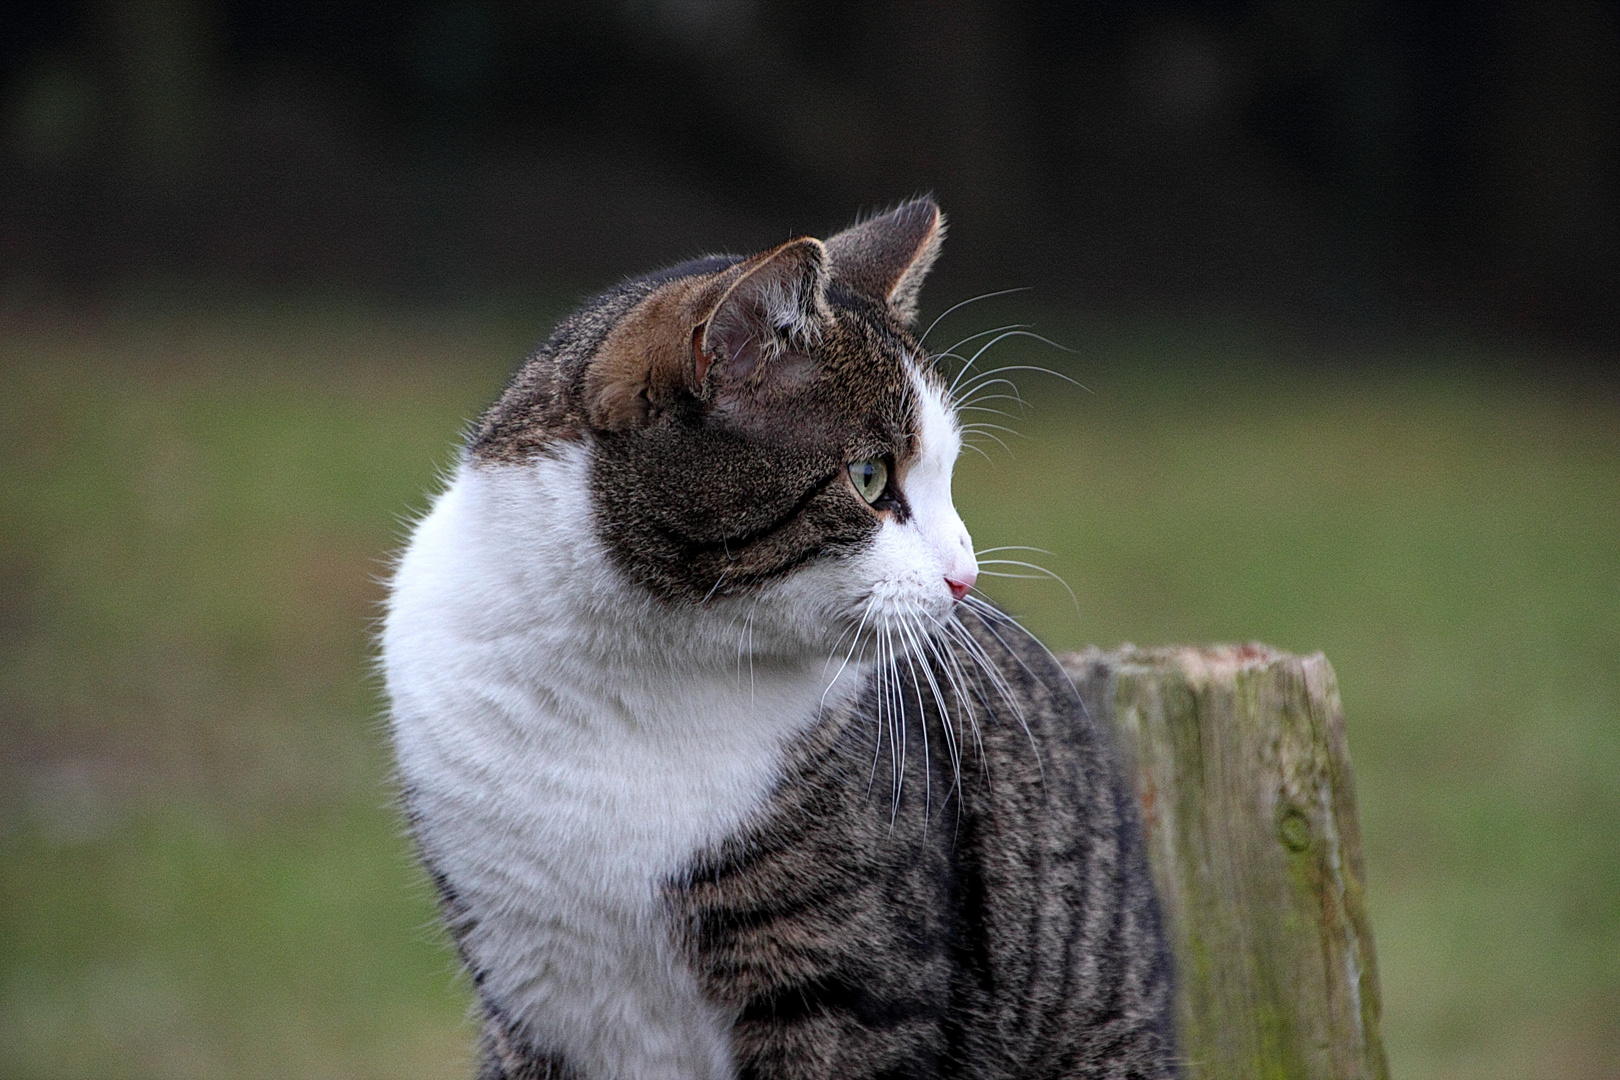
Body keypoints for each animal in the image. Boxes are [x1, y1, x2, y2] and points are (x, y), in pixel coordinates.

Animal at [379, 198, 1179, 1075]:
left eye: (947, 475)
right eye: (869, 478)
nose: (964, 578)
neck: (629, 665)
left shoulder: (848, 992)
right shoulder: (526, 993)